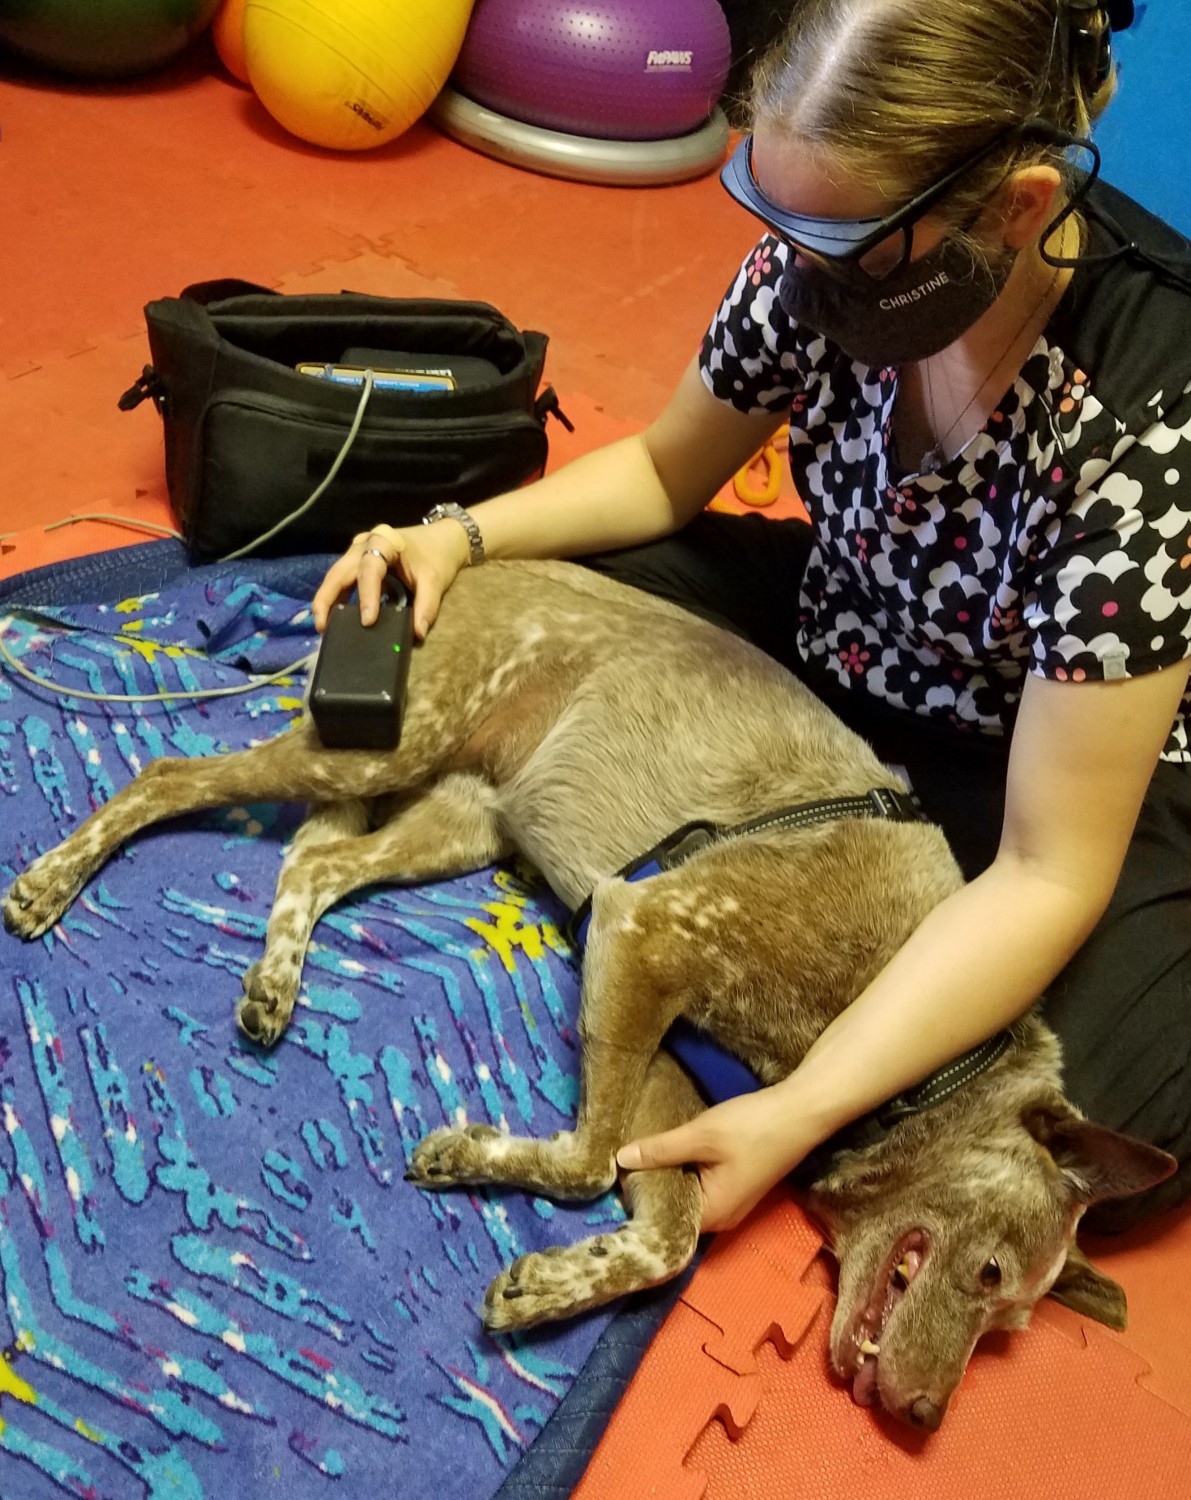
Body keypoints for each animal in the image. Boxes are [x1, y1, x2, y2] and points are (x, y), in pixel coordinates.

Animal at [0, 561, 1170, 1428]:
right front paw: (480, 1164)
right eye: (989, 1274)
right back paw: (50, 883)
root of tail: (458, 564)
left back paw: (276, 983)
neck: (919, 1047)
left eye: (1009, 1333)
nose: (924, 1419)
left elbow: (668, 1231)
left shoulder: (672, 1074)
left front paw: (550, 1277)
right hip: (384, 744)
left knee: (313, 862)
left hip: (462, 818)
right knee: (172, 782)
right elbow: (590, 1161)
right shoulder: (644, 930)